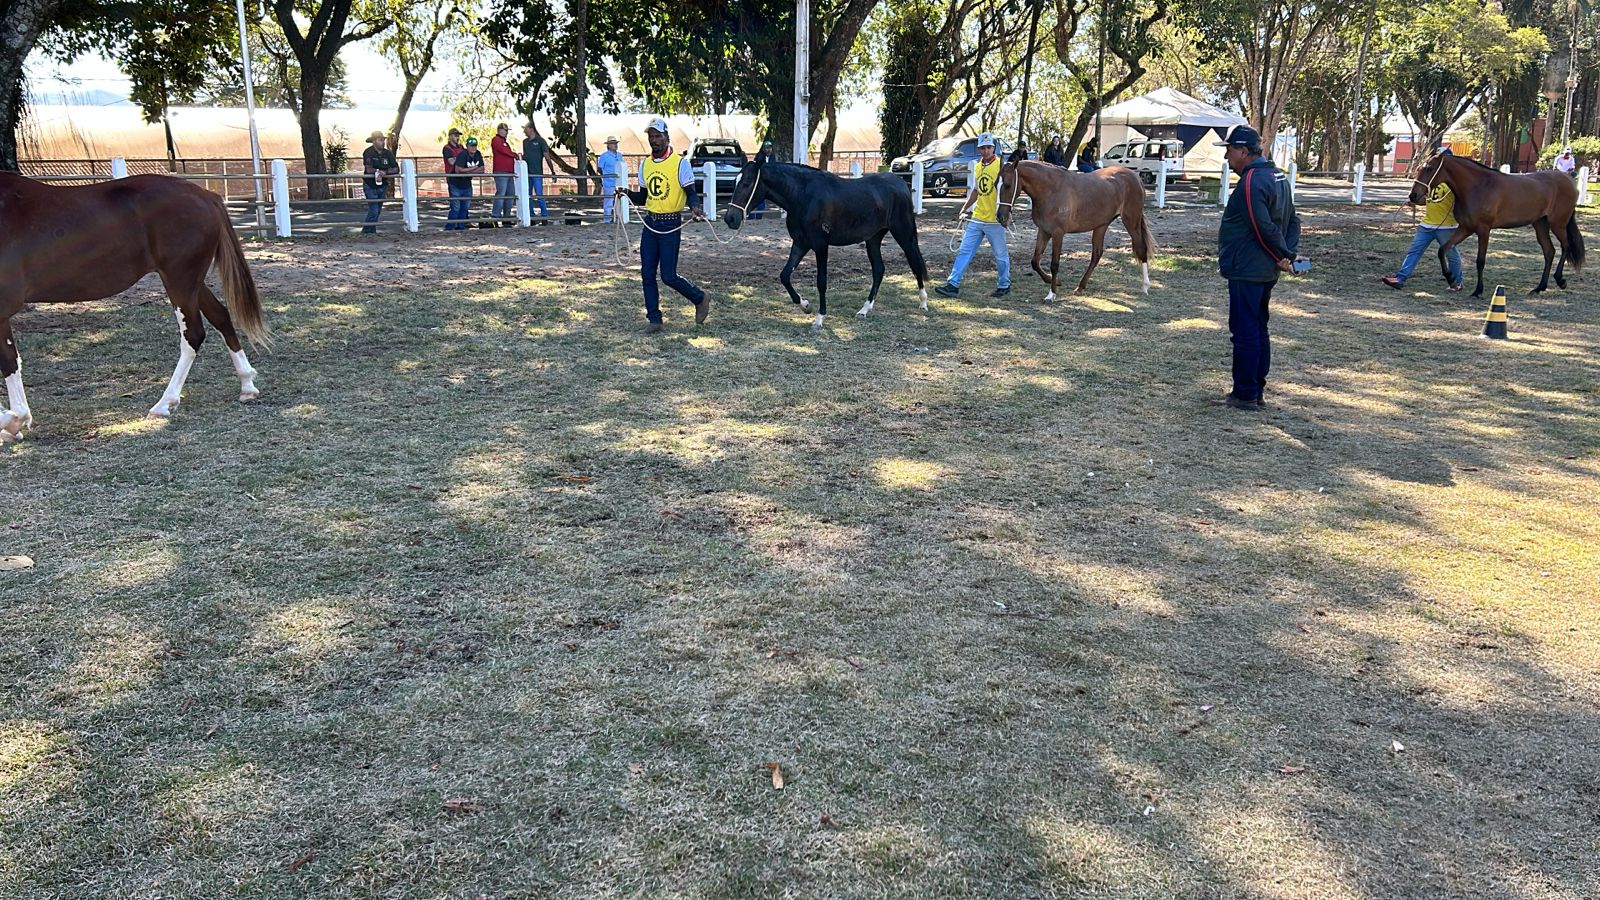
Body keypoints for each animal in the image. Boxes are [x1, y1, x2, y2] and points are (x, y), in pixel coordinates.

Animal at [0, 170, 268, 438]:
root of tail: (207, 196)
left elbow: (9, 361)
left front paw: (14, 420)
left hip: (180, 280)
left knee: (193, 334)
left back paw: (164, 404)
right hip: (191, 282)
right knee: (221, 316)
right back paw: (247, 385)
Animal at [723, 156, 934, 325]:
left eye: (747, 182)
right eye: (735, 181)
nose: (730, 219)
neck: (803, 196)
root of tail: (901, 184)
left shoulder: (820, 245)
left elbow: (821, 281)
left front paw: (820, 317)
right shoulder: (800, 243)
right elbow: (784, 276)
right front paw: (805, 306)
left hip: (904, 234)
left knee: (915, 264)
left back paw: (923, 303)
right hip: (873, 239)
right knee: (879, 270)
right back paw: (864, 310)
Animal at [992, 160, 1158, 297]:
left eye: (1007, 185)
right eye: (995, 185)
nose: (1000, 217)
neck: (1051, 190)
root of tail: (1136, 177)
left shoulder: (1058, 233)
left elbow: (1054, 264)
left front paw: (1051, 294)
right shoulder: (1044, 231)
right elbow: (1035, 261)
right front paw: (1053, 281)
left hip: (1131, 221)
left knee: (1141, 248)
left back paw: (1145, 286)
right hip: (1101, 225)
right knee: (1096, 254)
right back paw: (1080, 286)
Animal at [1414, 152, 1587, 296]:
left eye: (1429, 168)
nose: (1413, 195)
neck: (1479, 186)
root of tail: (1569, 180)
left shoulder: (1484, 230)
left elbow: (1480, 261)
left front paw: (1478, 290)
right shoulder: (1466, 228)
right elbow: (1443, 250)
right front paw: (1451, 279)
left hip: (1558, 223)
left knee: (1566, 246)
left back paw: (1560, 280)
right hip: (1540, 224)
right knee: (1549, 251)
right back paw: (1539, 287)